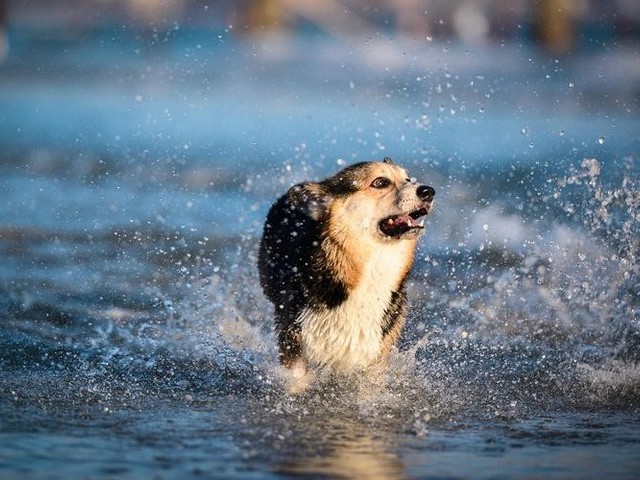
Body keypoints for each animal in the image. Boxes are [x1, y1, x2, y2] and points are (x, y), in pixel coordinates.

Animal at [258, 158, 436, 382]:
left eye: (408, 179)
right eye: (380, 182)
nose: (428, 191)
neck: (370, 267)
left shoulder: (376, 356)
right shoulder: (293, 342)